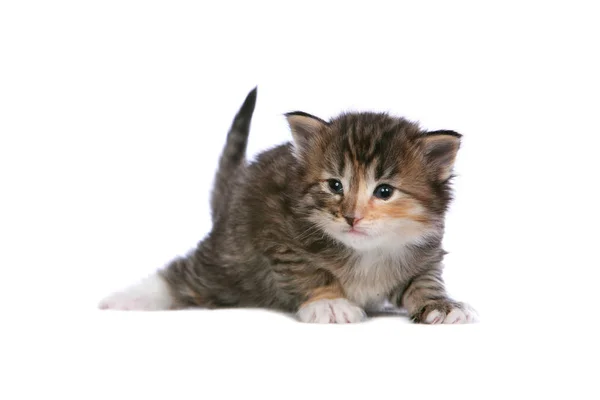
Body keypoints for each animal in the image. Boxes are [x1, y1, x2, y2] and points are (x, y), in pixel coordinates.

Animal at [98, 89, 476, 324]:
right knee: (183, 274)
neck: (367, 251)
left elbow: (423, 282)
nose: (351, 217)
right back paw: (124, 298)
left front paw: (440, 305)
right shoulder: (277, 234)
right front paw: (329, 302)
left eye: (384, 191)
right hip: (231, 260)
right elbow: (309, 271)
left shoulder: (424, 254)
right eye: (334, 185)